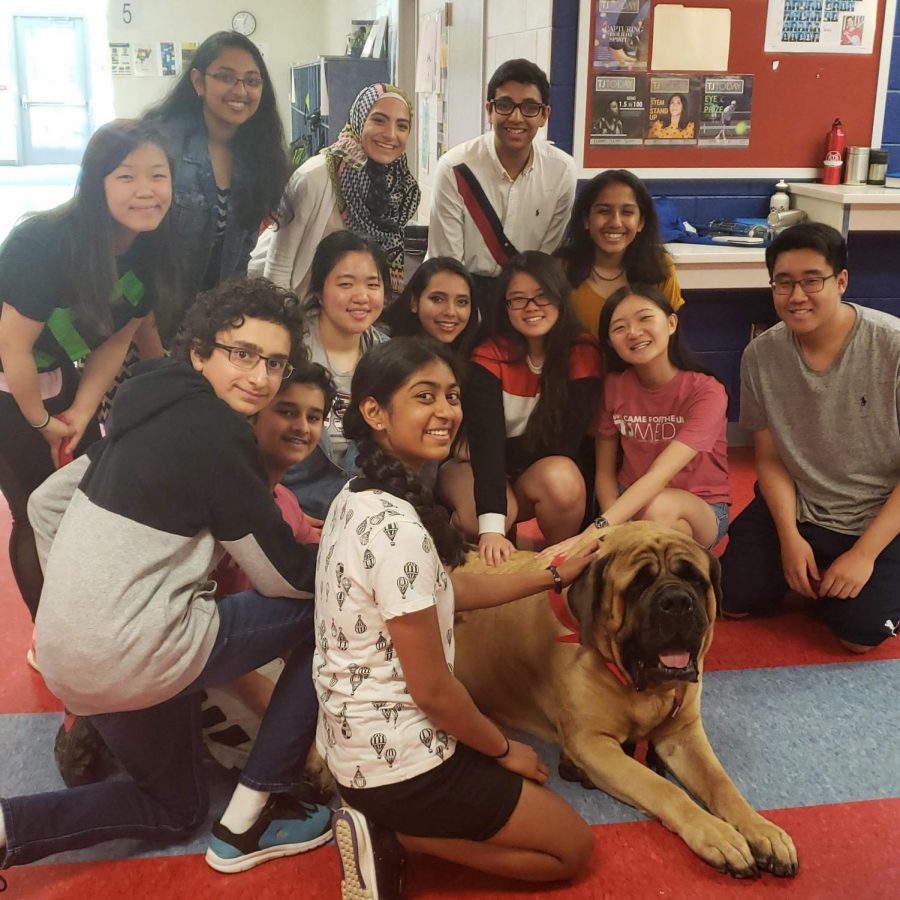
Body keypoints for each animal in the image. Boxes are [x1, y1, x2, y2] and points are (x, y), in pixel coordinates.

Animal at [454, 520, 800, 880]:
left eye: (693, 579)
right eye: (638, 585)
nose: (677, 601)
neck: (645, 690)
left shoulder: (683, 734)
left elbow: (722, 784)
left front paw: (763, 830)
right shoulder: (593, 743)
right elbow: (664, 788)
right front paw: (718, 835)